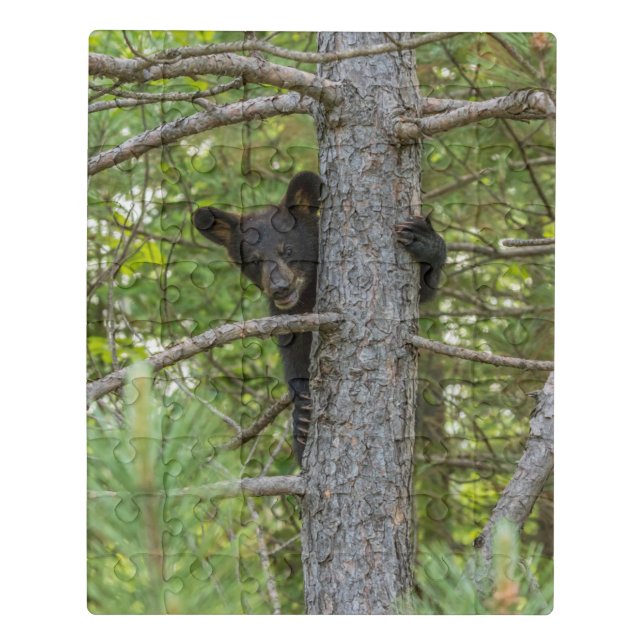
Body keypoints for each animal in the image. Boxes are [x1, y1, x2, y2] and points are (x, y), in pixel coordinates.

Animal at [193, 172, 446, 465]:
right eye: (255, 261)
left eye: (288, 250)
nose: (280, 288)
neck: (306, 295)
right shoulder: (288, 318)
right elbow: (294, 358)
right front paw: (301, 416)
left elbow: (422, 291)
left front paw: (425, 241)